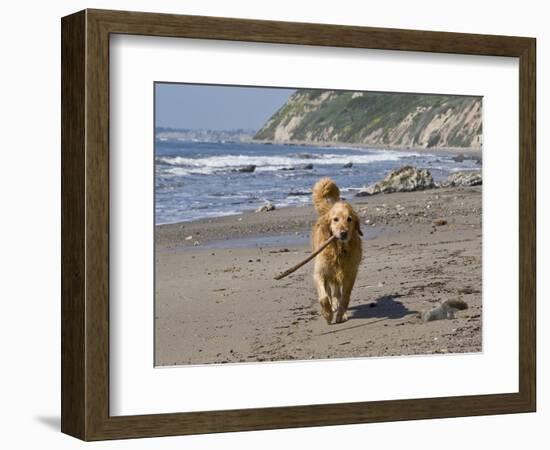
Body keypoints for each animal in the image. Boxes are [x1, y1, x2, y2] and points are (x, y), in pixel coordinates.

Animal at [312, 178, 364, 324]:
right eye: (335, 219)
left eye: (349, 219)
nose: (343, 233)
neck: (339, 250)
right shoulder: (320, 272)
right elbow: (324, 297)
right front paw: (327, 314)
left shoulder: (350, 274)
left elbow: (345, 297)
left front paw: (341, 314)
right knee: (330, 291)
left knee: (337, 292)